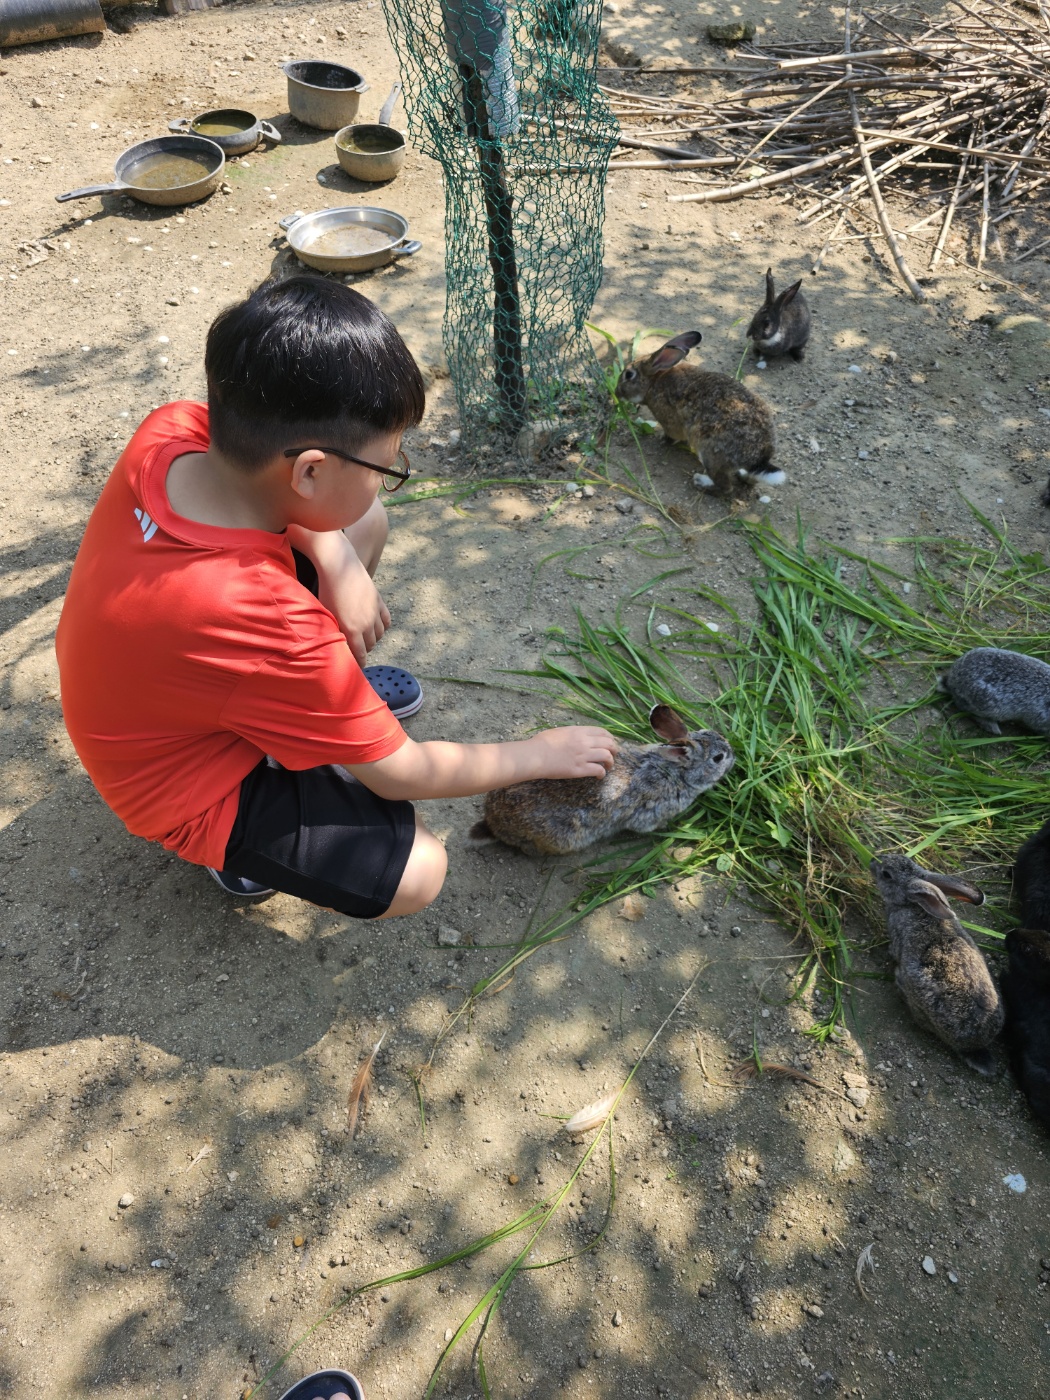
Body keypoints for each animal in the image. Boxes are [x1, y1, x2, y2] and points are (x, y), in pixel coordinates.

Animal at [613, 331, 784, 495]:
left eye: (629, 375)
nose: (616, 392)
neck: (653, 382)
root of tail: (759, 457)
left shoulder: (669, 421)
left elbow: (672, 435)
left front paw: (663, 440)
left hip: (710, 453)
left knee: (726, 487)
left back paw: (701, 482)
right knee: (749, 480)